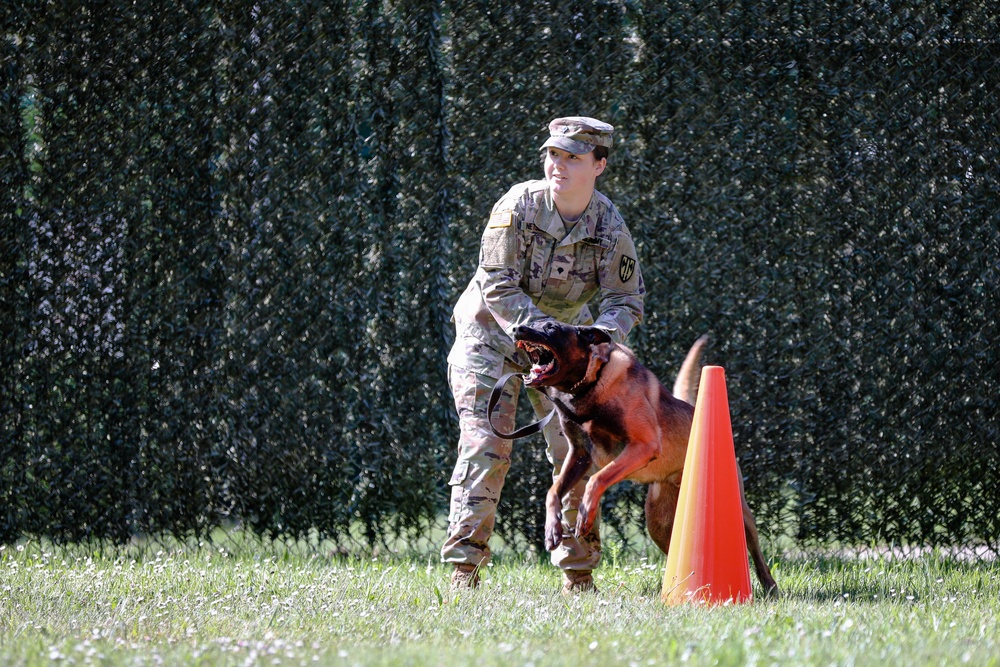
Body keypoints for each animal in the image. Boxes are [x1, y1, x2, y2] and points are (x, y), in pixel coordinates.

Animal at [512, 320, 776, 596]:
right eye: (533, 322)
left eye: (551, 327)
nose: (517, 329)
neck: (587, 385)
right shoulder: (579, 455)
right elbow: (553, 491)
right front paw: (552, 528)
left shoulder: (643, 445)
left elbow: (597, 479)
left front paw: (585, 514)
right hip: (658, 524)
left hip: (742, 514)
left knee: (756, 553)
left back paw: (769, 587)